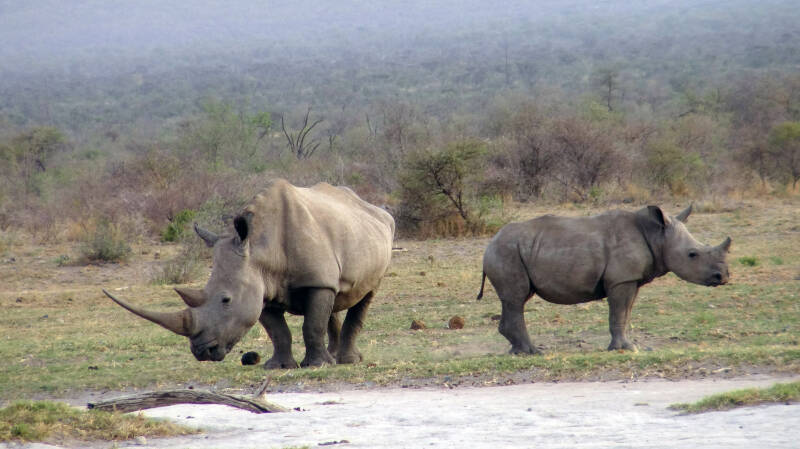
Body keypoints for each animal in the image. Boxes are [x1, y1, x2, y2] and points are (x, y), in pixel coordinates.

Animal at [104, 179, 395, 368]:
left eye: (226, 300)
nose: (202, 351)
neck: (259, 249)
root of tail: (374, 208)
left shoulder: (314, 281)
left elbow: (311, 325)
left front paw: (315, 366)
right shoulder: (260, 287)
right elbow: (278, 331)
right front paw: (278, 367)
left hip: (381, 237)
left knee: (366, 294)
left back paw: (345, 361)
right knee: (334, 298)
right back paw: (334, 357)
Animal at [477, 204, 731, 354]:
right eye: (692, 254)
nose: (724, 277)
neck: (656, 236)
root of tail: (489, 244)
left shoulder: (630, 279)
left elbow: (625, 313)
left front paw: (629, 346)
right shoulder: (621, 280)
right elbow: (618, 313)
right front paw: (624, 349)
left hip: (513, 251)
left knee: (515, 299)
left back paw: (518, 352)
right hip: (506, 252)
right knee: (516, 299)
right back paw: (535, 352)